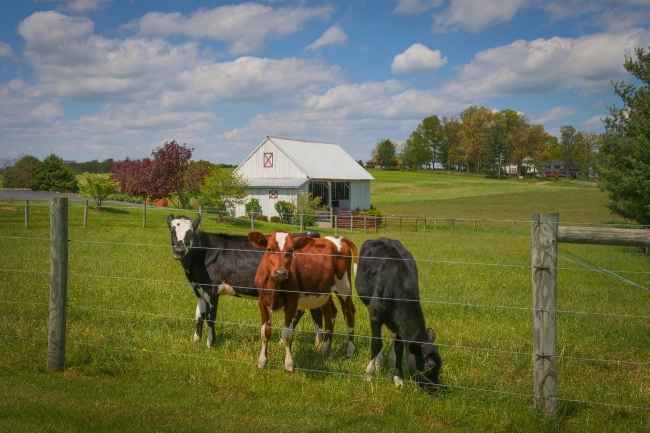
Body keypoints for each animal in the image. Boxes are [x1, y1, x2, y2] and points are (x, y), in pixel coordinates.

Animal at [165, 213, 322, 348]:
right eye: (172, 232)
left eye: (189, 233)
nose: (179, 250)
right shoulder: (199, 289)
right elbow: (199, 316)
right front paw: (196, 340)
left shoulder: (212, 290)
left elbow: (210, 317)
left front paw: (211, 344)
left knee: (311, 313)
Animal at [249, 230, 360, 372]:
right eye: (269, 249)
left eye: (291, 250)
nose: (280, 272)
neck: (274, 287)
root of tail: (338, 238)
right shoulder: (262, 301)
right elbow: (265, 332)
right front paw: (262, 362)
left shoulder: (292, 302)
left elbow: (287, 334)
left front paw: (289, 365)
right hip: (324, 292)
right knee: (330, 314)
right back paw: (325, 350)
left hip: (344, 286)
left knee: (349, 314)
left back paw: (350, 351)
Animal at [354, 236, 440, 392]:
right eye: (429, 369)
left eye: (440, 366)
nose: (436, 390)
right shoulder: (374, 314)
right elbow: (376, 343)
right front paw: (369, 373)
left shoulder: (399, 323)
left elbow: (399, 347)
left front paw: (398, 377)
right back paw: (378, 361)